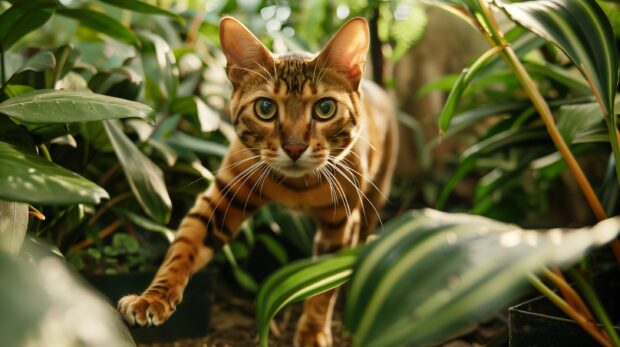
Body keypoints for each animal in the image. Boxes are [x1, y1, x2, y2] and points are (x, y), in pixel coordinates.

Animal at [117, 16, 398, 347]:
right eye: (265, 108)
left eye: (325, 108)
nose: (294, 147)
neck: (296, 188)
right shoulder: (221, 199)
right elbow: (182, 248)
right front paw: (152, 299)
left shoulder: (340, 223)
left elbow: (323, 285)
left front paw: (314, 330)